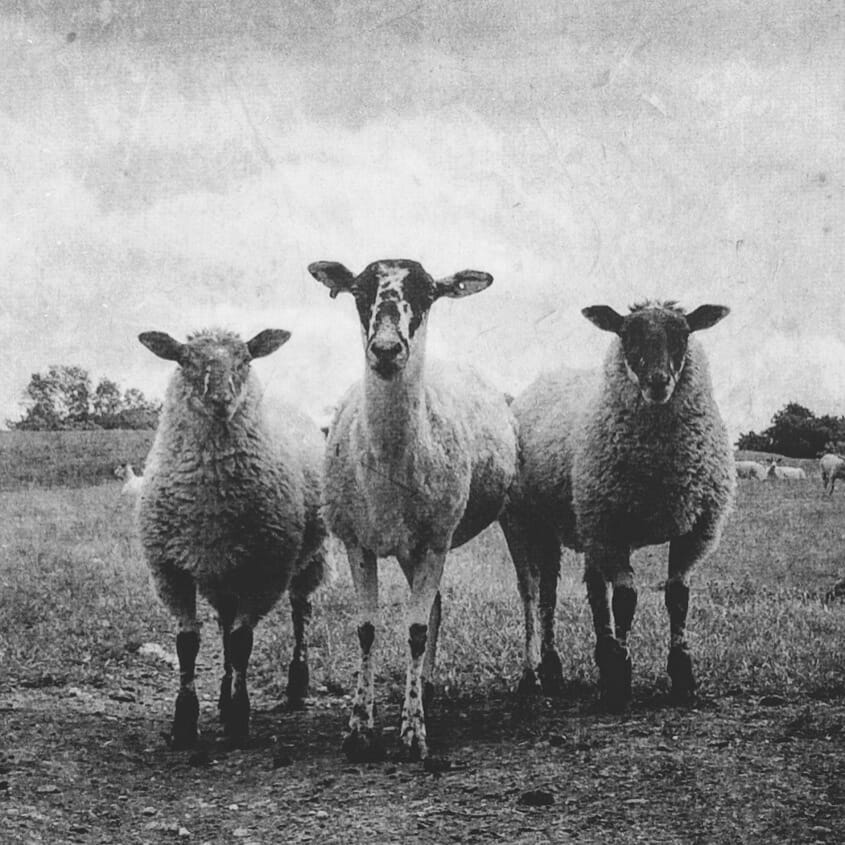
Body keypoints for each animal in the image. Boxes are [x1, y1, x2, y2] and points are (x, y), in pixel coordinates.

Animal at [135, 326, 326, 748]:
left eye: (245, 360)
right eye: (184, 360)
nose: (221, 401)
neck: (210, 502)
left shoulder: (265, 572)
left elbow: (242, 643)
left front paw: (240, 718)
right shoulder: (171, 570)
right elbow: (188, 644)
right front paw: (185, 721)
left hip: (306, 559)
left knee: (300, 612)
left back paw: (295, 684)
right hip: (221, 572)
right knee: (224, 623)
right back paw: (222, 696)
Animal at [308, 256, 516, 760]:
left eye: (427, 294)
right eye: (359, 292)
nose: (386, 350)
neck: (388, 464)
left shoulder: (436, 541)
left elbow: (416, 630)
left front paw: (413, 732)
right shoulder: (357, 542)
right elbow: (366, 628)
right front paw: (359, 727)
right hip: (407, 548)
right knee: (435, 607)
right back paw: (426, 685)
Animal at [504, 300, 736, 708]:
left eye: (683, 334)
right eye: (627, 335)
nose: (658, 382)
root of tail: (546, 378)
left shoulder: (695, 530)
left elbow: (677, 597)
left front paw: (681, 675)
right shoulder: (612, 529)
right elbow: (625, 599)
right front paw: (622, 678)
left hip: (586, 519)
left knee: (592, 589)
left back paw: (599, 656)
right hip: (527, 521)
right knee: (537, 595)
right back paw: (540, 671)